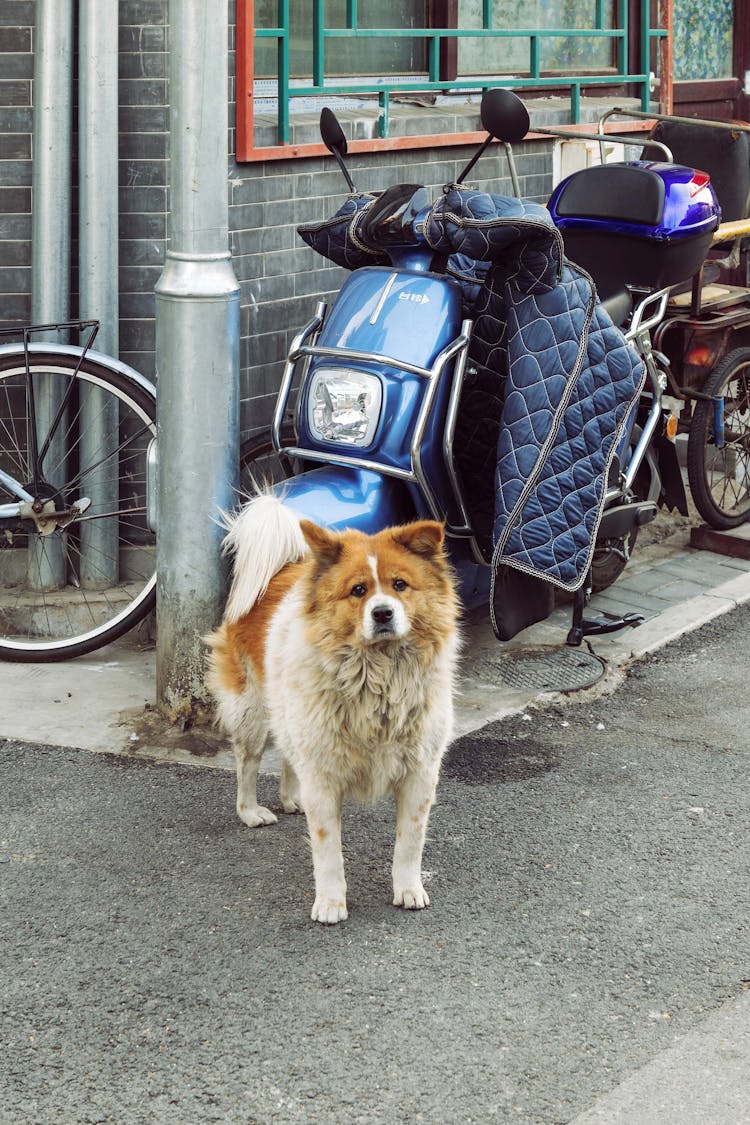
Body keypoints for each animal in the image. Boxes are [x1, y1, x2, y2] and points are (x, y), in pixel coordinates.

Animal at [208, 497, 461, 927]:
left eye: (400, 585)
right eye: (358, 590)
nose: (382, 613)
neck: (379, 679)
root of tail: (280, 568)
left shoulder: (419, 773)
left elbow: (409, 843)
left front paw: (408, 889)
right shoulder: (324, 776)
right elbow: (328, 852)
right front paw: (330, 903)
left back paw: (292, 799)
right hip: (253, 713)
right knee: (247, 765)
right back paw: (251, 812)